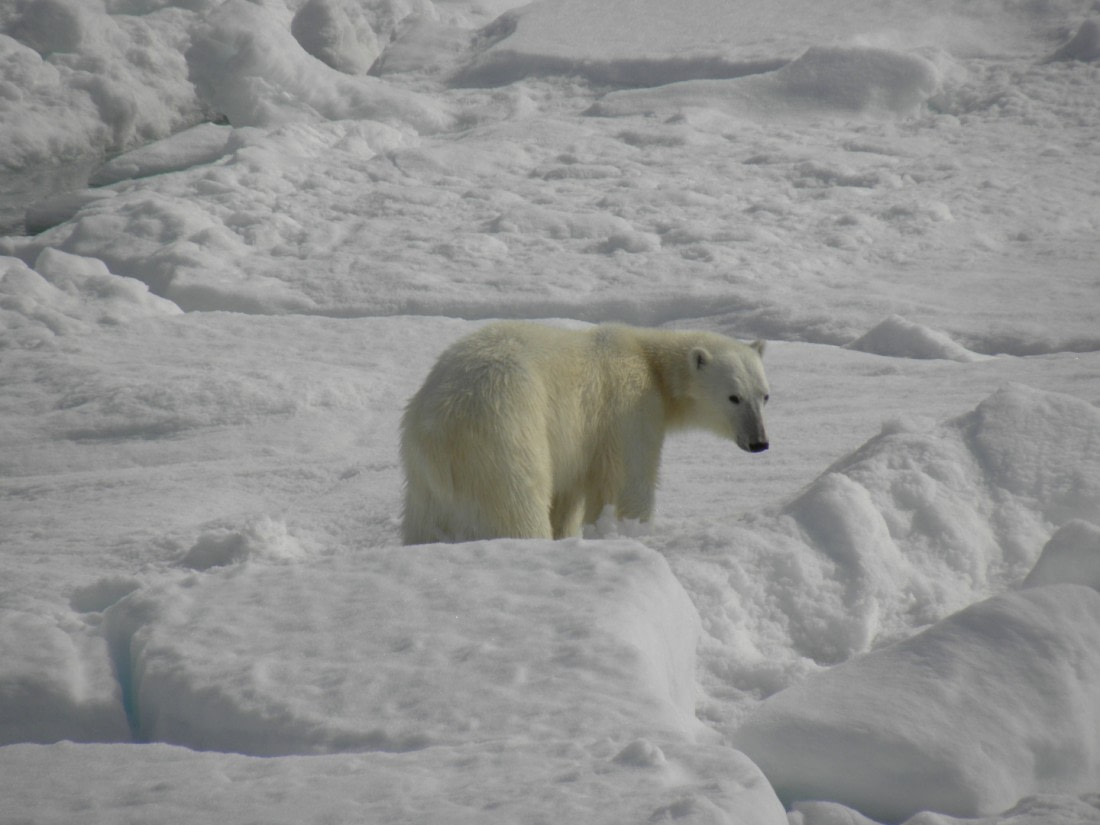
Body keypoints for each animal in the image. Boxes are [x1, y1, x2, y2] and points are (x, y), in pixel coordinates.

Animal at [400, 321, 769, 545]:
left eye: (765, 395)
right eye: (734, 397)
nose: (759, 442)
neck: (648, 359)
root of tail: (441, 428)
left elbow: (567, 495)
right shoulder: (627, 408)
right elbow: (625, 482)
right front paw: (627, 532)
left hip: (422, 473)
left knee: (425, 521)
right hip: (505, 435)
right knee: (516, 503)